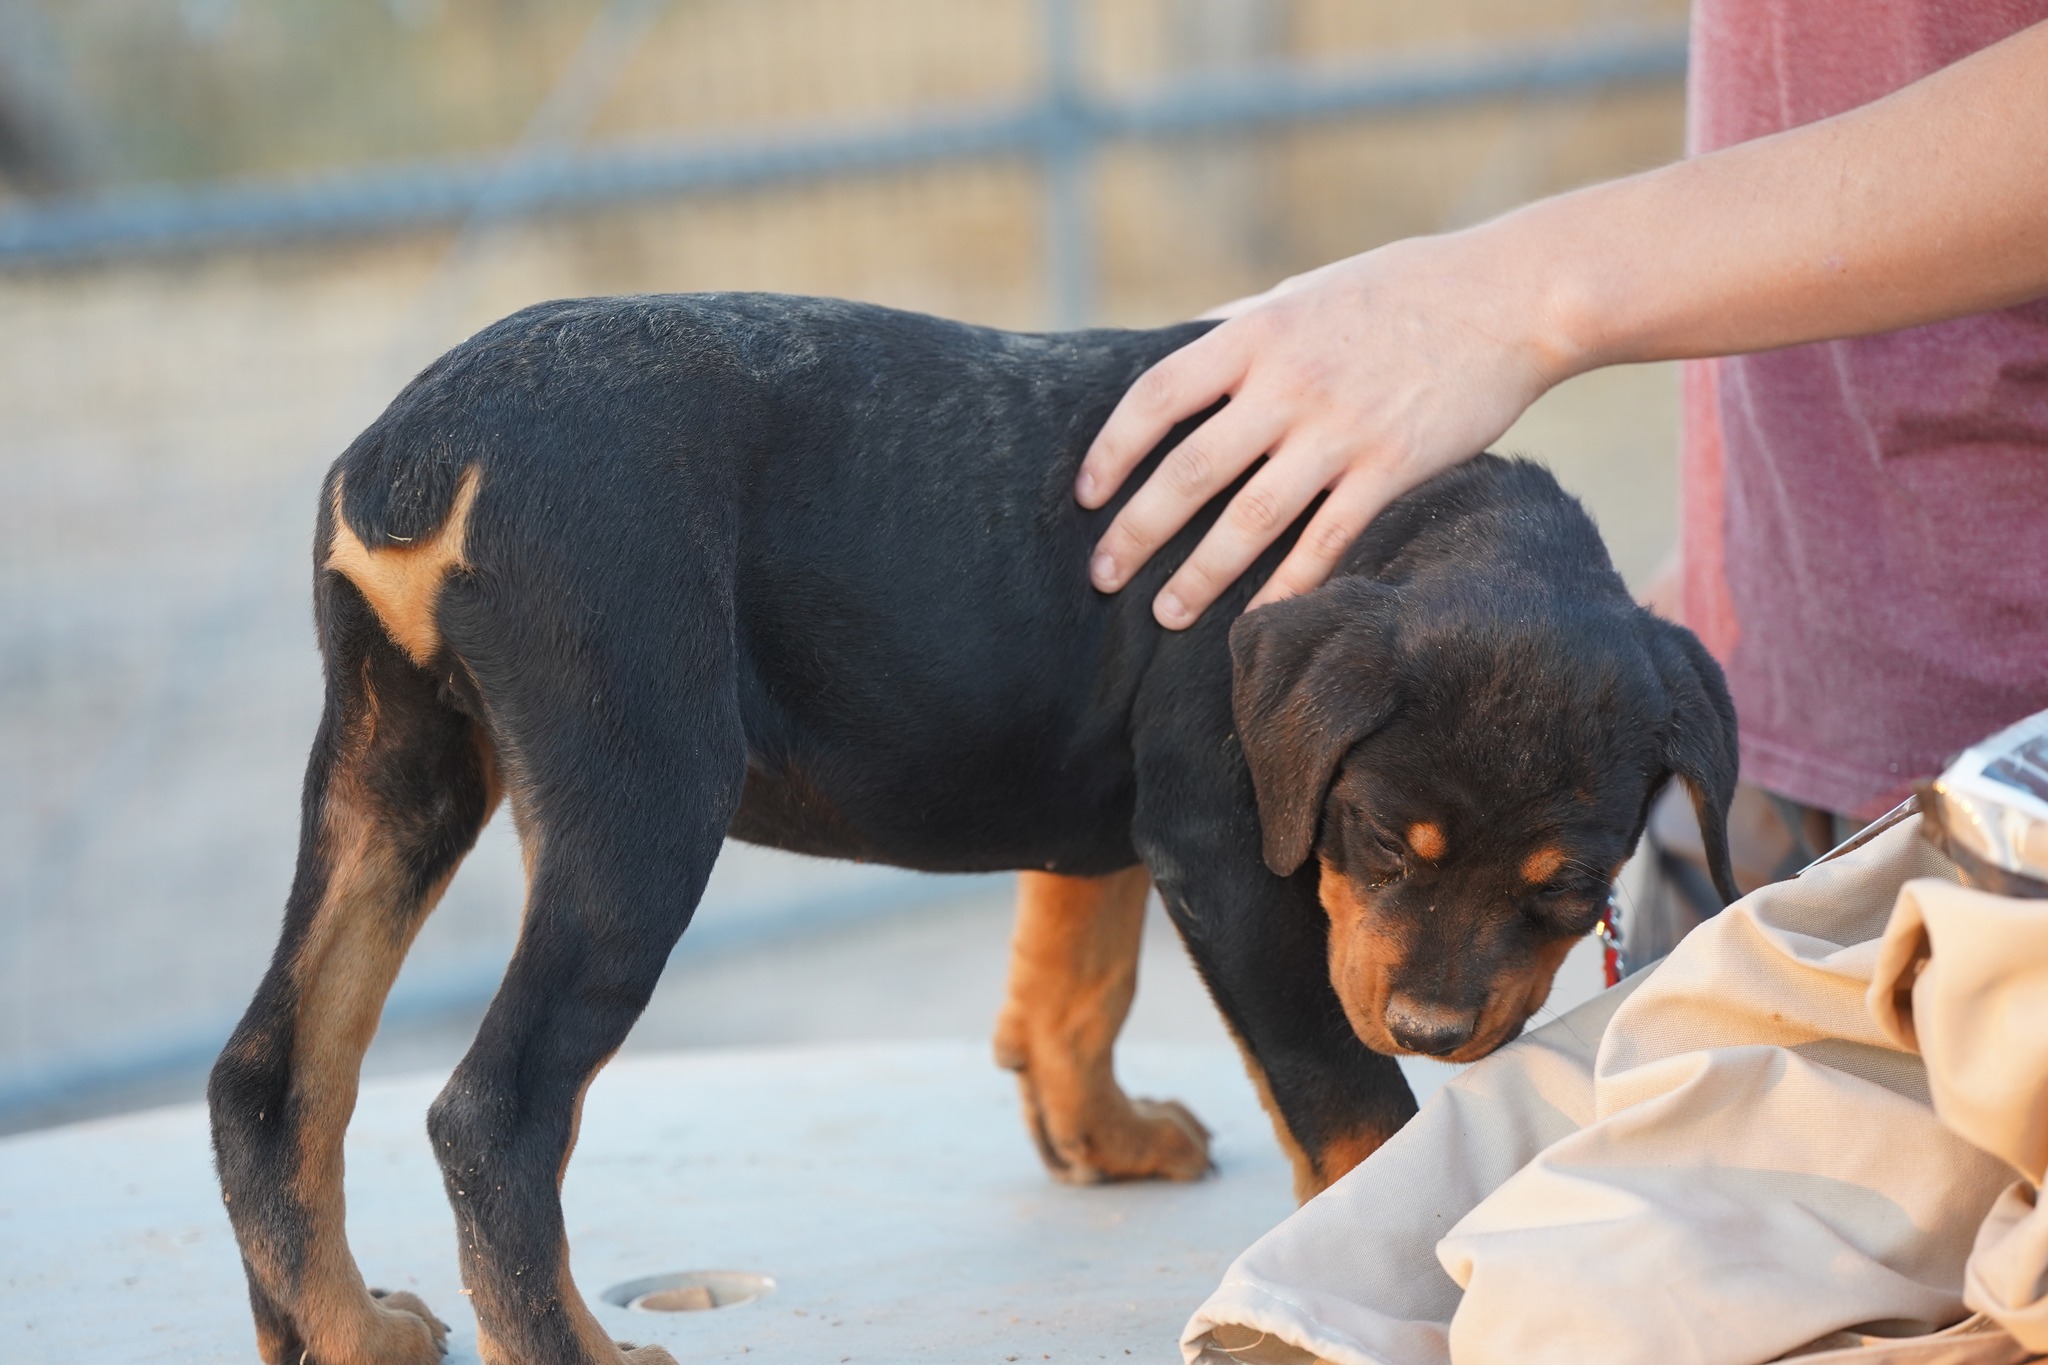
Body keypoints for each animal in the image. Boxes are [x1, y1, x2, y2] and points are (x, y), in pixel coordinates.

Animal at [211, 294, 1728, 1358]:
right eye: (1371, 843)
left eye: (1567, 890)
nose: (1436, 1029)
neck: (1397, 519)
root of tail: (423, 458)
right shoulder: (1226, 848)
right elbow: (1349, 1106)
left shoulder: (1119, 812)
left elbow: (1074, 977)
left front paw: (1099, 1137)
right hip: (636, 793)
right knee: (496, 1109)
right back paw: (571, 1349)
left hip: (393, 768)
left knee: (273, 1075)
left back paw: (346, 1331)